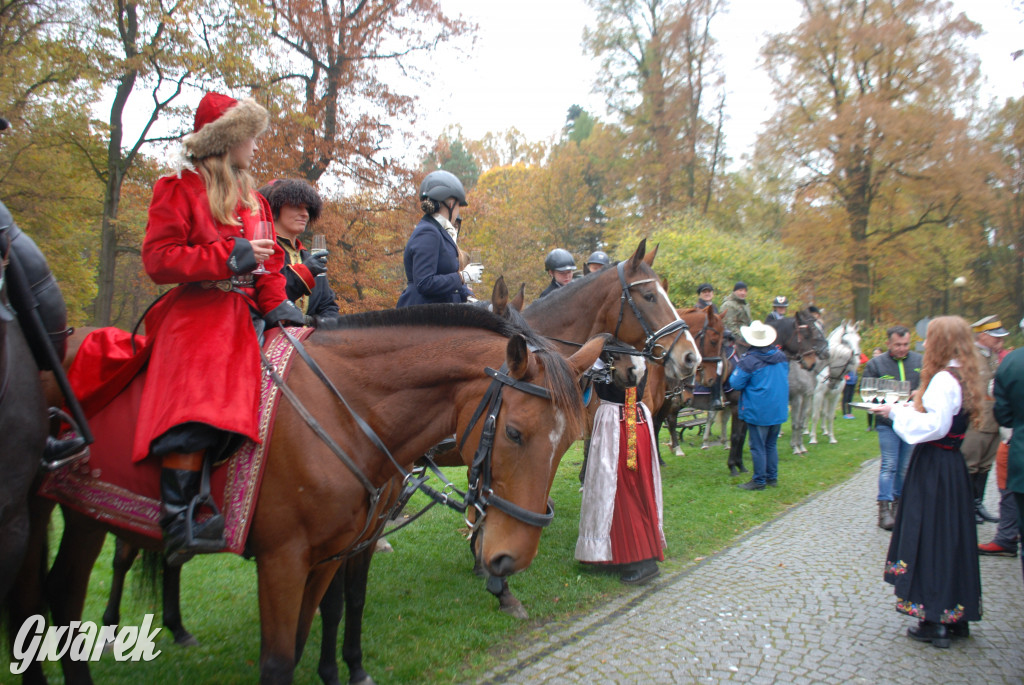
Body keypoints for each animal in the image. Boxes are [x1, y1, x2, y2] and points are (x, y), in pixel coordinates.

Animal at [12, 305, 602, 683]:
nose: (511, 558)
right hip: (42, 512)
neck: (343, 411)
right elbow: (280, 659)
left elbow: (320, 624)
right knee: (47, 595)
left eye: (570, 439)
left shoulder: (334, 553)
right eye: (515, 433)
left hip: (83, 516)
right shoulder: (283, 561)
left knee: (59, 594)